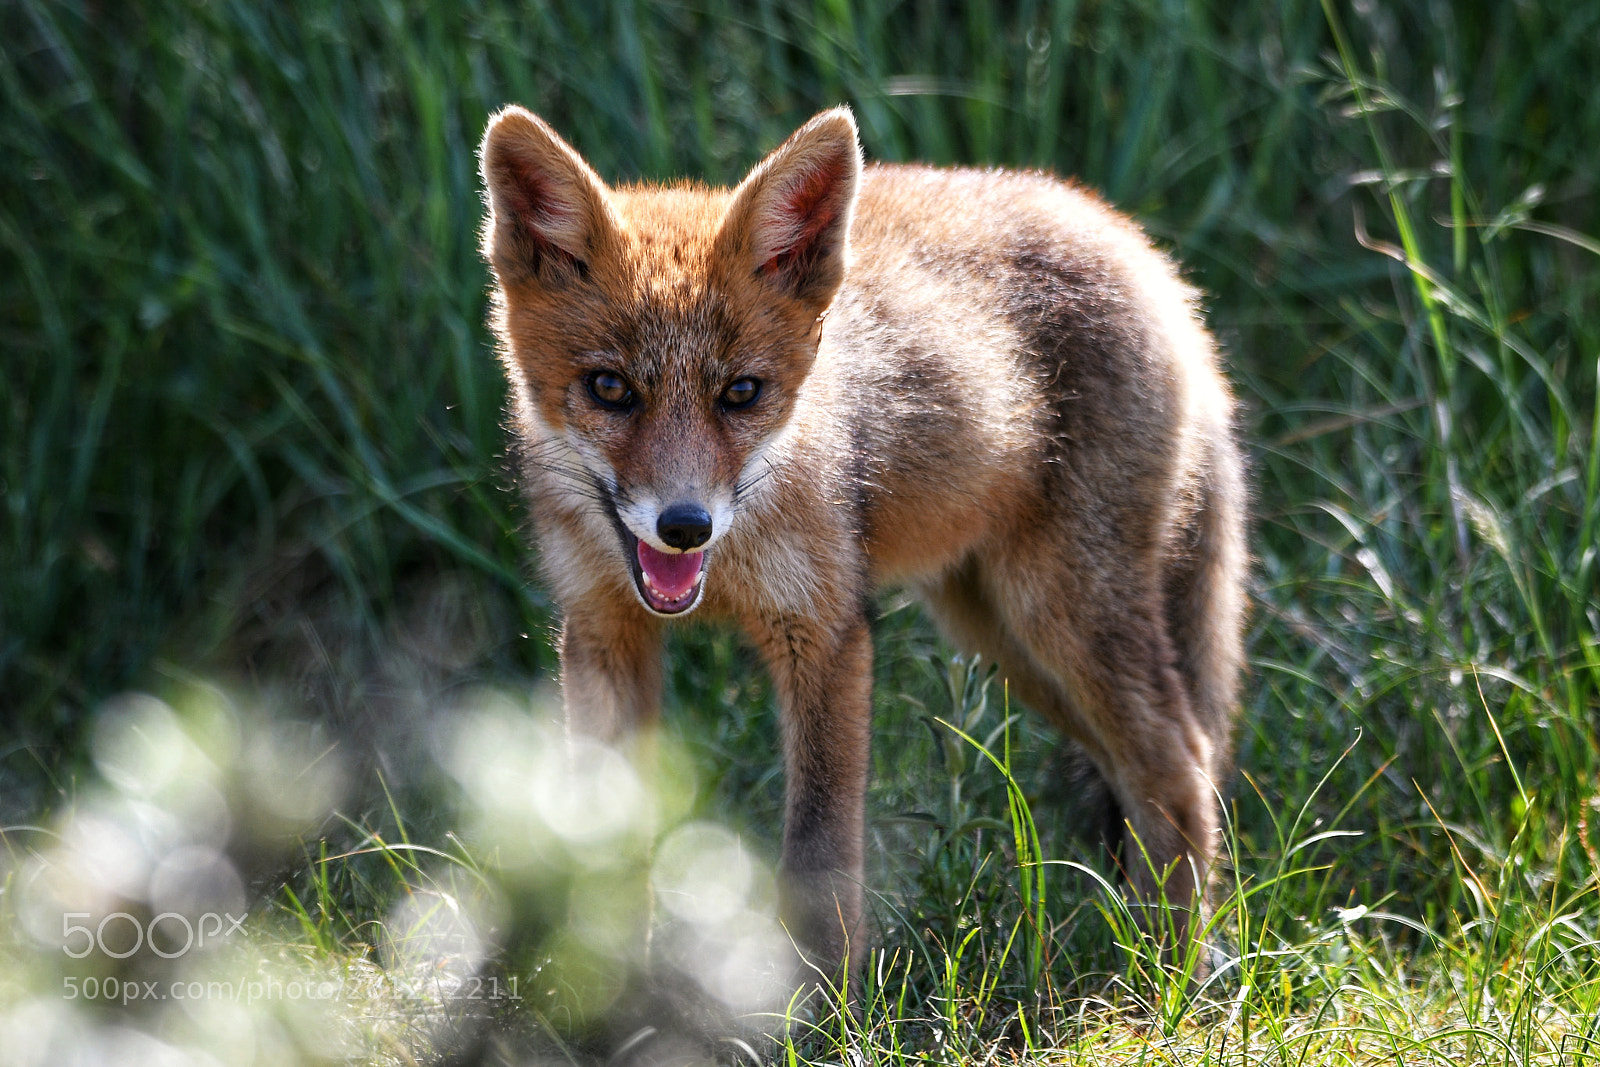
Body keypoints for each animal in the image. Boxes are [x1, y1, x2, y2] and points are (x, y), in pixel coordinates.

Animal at [473, 106, 1248, 985]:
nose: (684, 524)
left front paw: (829, 1004)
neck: (728, 569)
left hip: (1060, 614)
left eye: (741, 393)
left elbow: (819, 856)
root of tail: (1135, 243)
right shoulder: (603, 634)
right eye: (610, 388)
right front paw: (610, 986)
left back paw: (1165, 978)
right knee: (1153, 769)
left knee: (1180, 765)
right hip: (1006, 638)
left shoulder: (827, 634)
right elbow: (604, 841)